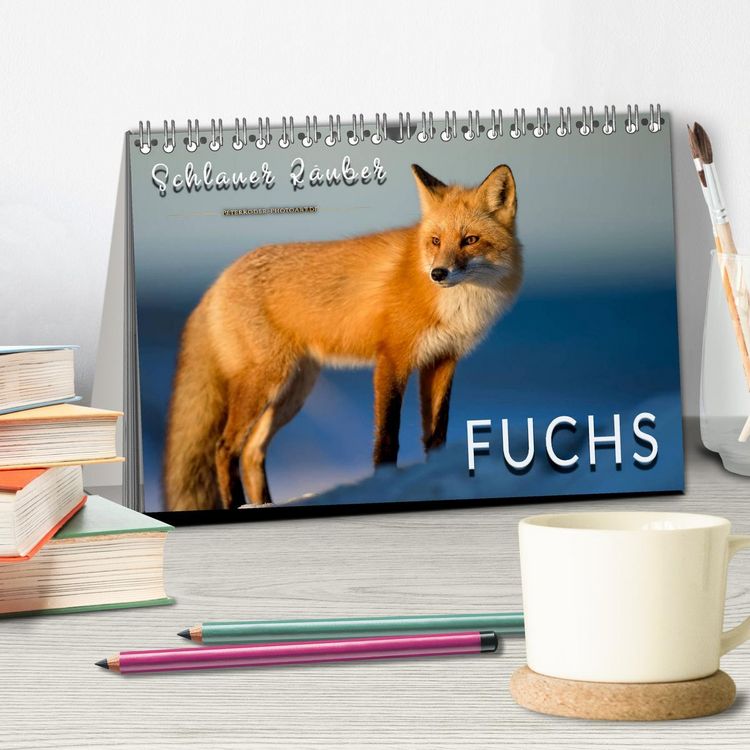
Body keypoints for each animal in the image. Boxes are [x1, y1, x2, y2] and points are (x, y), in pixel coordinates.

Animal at [164, 163, 522, 510]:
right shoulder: (392, 359)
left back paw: (264, 504)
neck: (456, 304)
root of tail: (217, 282)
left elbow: (436, 436)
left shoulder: (442, 360)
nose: (438, 273)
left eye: (470, 240)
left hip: (292, 392)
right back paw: (238, 504)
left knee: (252, 452)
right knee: (224, 448)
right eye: (435, 241)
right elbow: (387, 437)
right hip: (265, 382)